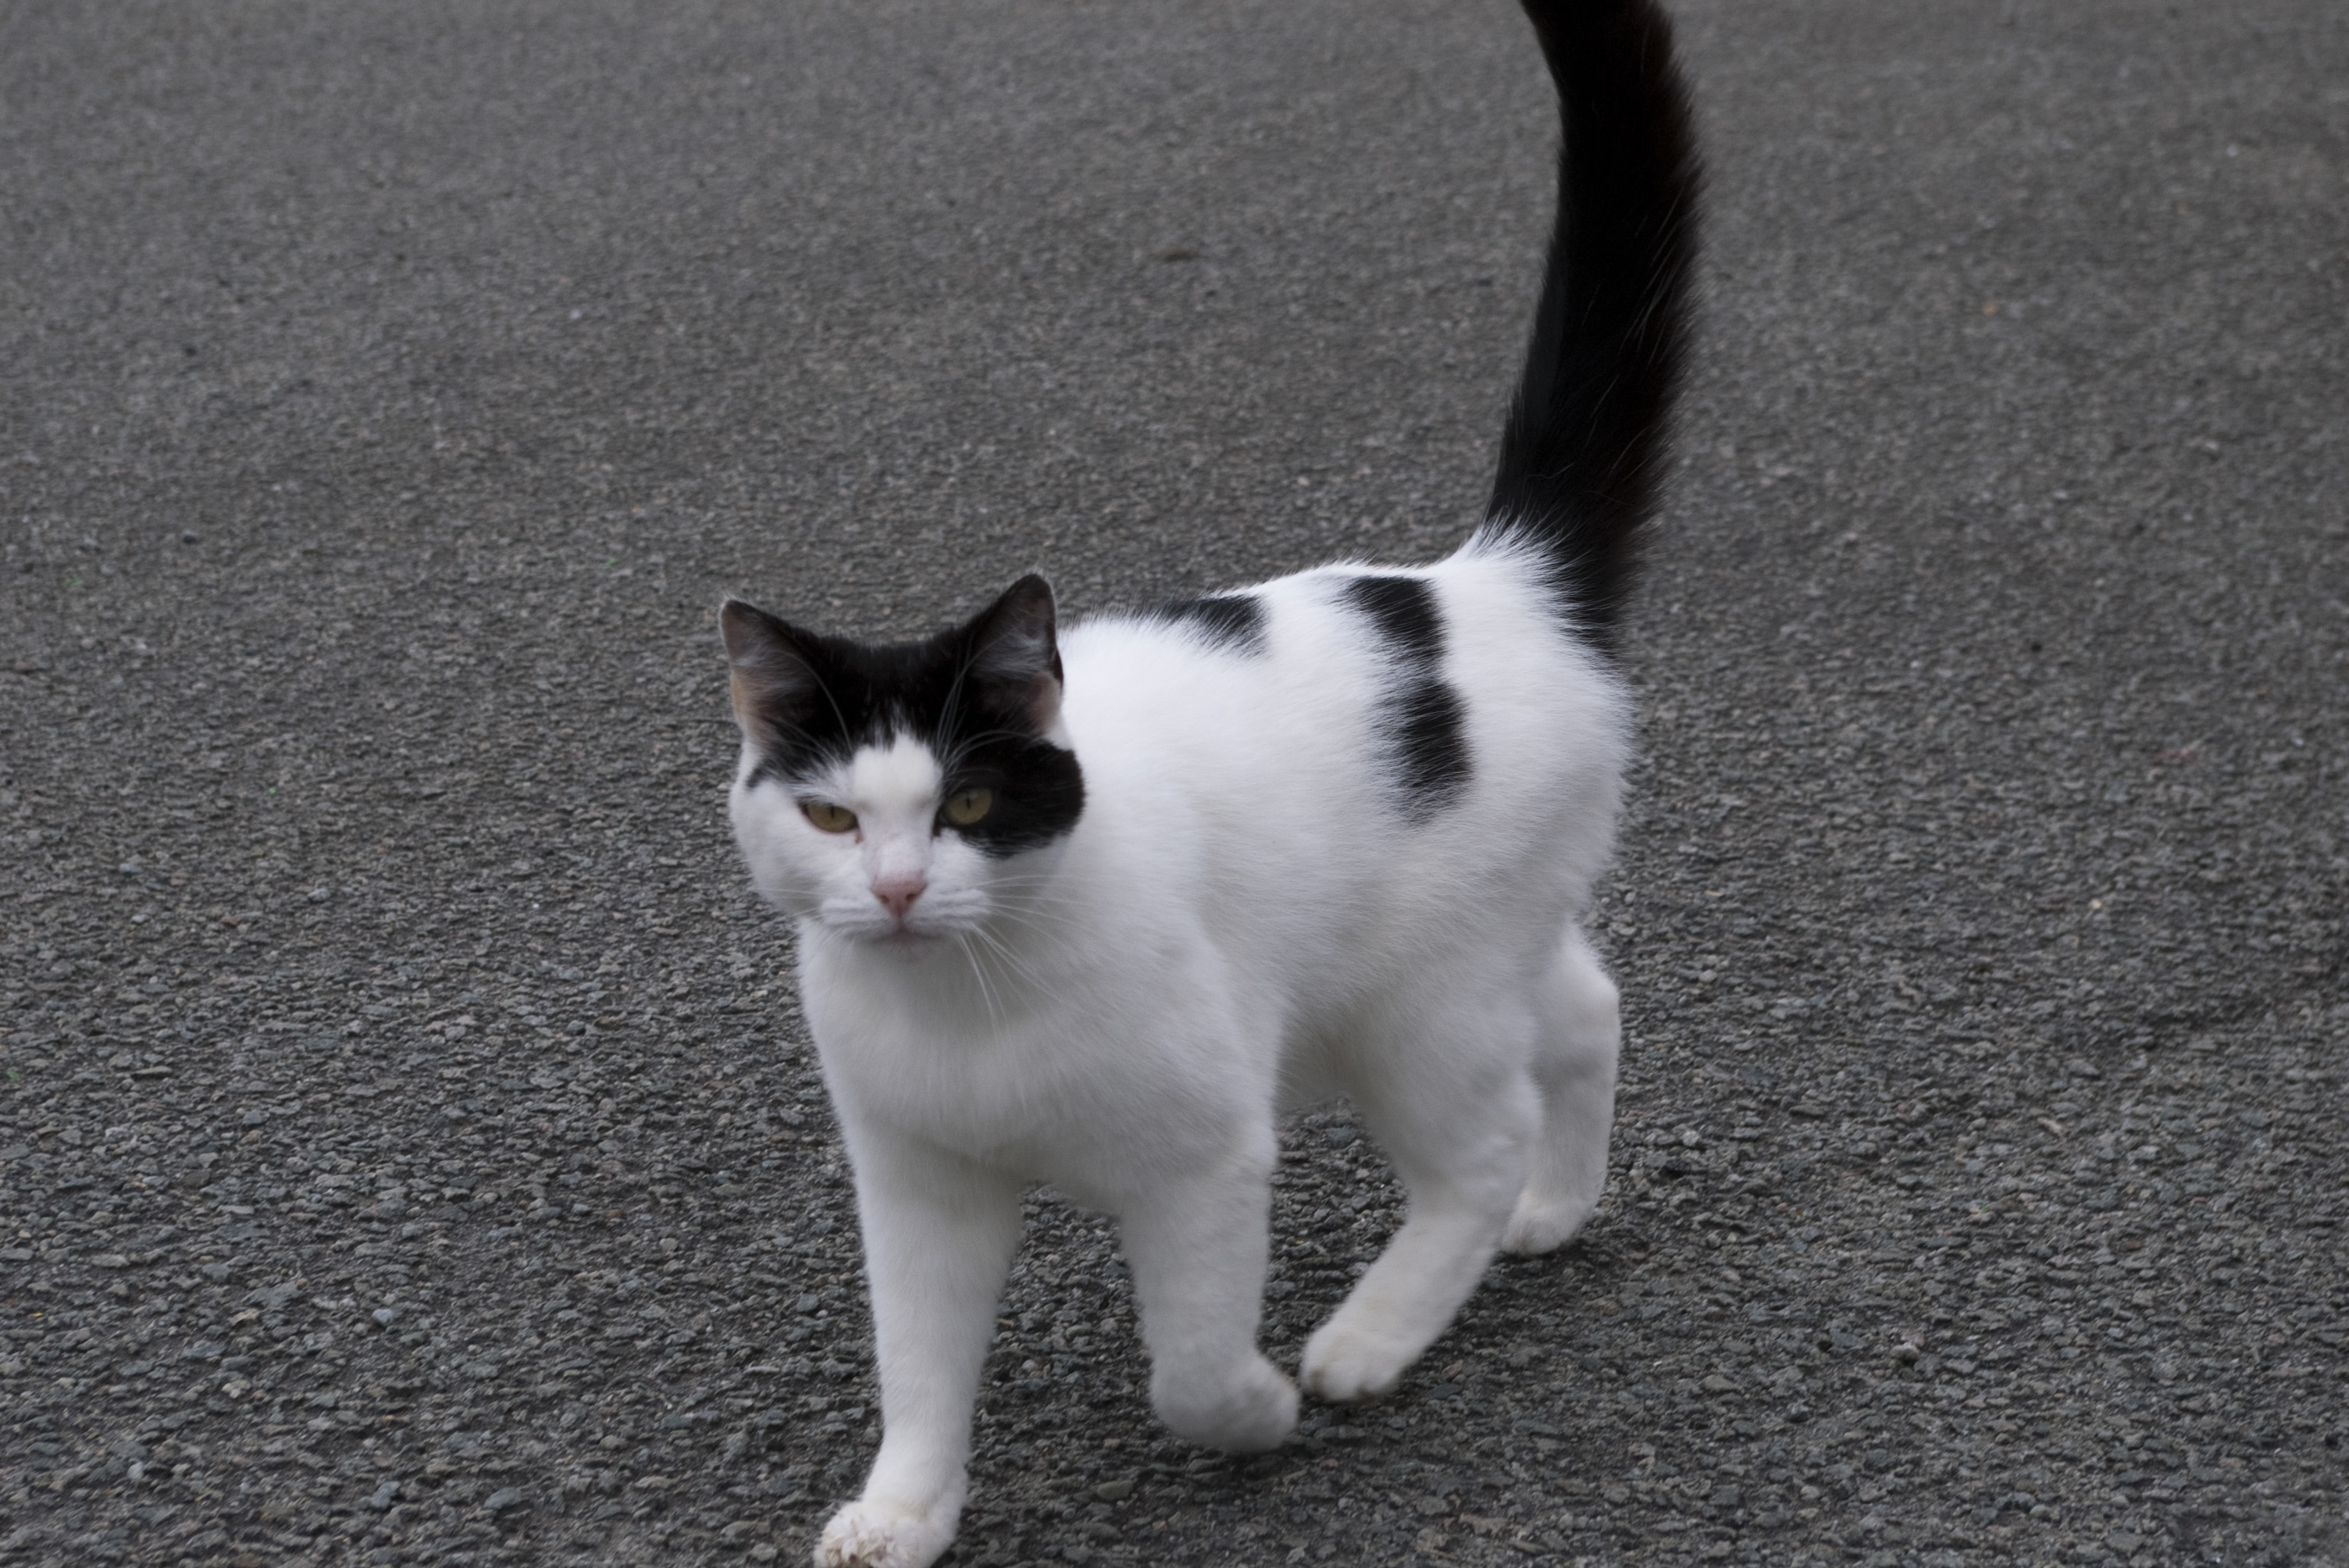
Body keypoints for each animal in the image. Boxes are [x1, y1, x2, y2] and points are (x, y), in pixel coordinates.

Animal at [723, 5, 1700, 1558]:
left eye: (968, 807)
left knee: (1476, 1149)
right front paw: (904, 1509)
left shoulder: (1202, 1158)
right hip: (1451, 955)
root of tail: (1493, 582)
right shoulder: (918, 1186)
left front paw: (1256, 1408)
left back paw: (1371, 1335)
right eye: (828, 813)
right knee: (1584, 1011)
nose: (895, 889)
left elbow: (1183, 1363)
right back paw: (1558, 1203)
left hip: (1410, 1010)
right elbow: (919, 1365)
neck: (973, 999)